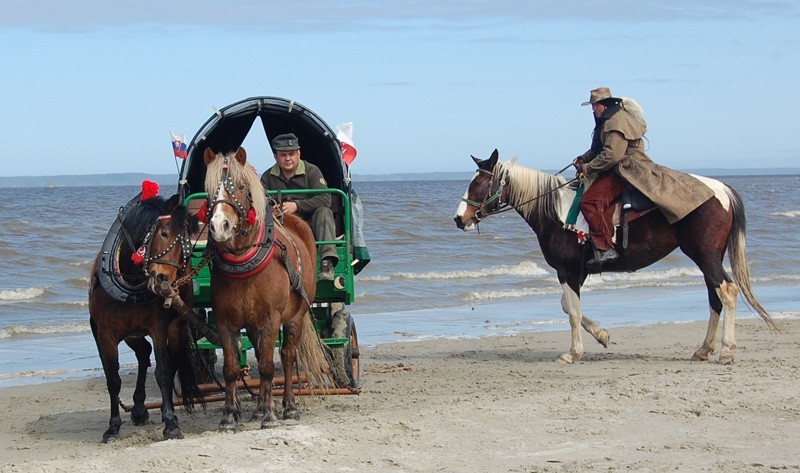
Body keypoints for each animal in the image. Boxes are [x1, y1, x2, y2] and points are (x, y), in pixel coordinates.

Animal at [88, 186, 203, 440]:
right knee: (143, 354)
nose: (163, 281)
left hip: (176, 327)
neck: (130, 279)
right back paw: (139, 408)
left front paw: (170, 423)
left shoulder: (158, 328)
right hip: (131, 333)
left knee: (168, 364)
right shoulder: (106, 333)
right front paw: (113, 426)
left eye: (186, 248)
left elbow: (163, 372)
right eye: (164, 233)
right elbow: (113, 378)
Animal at [206, 146, 332, 430]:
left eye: (241, 186)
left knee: (287, 356)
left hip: (296, 316)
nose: (220, 226)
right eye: (208, 189)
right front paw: (229, 416)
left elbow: (266, 366)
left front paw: (271, 416)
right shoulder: (224, 321)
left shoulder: (272, 319)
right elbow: (230, 369)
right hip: (253, 325)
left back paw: (288, 406)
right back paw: (260, 407)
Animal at [454, 149, 780, 364]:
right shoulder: (578, 272)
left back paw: (726, 350)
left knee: (727, 291)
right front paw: (601, 335)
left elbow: (572, 312)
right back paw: (704, 349)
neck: (552, 210)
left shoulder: (567, 271)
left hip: (704, 255)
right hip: (707, 257)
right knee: (715, 296)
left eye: (478, 183)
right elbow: (567, 306)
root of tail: (722, 190)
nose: (459, 219)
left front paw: (573, 352)